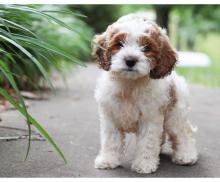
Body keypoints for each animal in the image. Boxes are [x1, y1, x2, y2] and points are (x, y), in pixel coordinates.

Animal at [91, 12, 198, 173]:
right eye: (119, 44)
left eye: (146, 47)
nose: (130, 60)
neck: (130, 85)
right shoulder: (110, 117)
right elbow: (111, 141)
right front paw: (107, 160)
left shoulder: (150, 118)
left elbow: (147, 142)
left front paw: (144, 164)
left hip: (175, 115)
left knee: (184, 133)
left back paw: (186, 155)